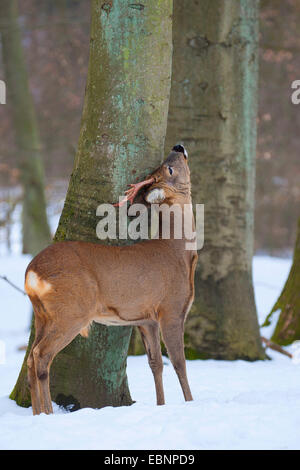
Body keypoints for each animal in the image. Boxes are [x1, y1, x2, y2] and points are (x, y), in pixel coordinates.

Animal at [25, 146, 197, 414]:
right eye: (169, 168)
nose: (177, 147)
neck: (178, 251)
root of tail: (32, 271)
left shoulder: (146, 319)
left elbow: (156, 364)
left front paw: (161, 405)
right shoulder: (171, 309)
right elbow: (179, 362)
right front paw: (191, 403)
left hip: (42, 314)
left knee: (31, 358)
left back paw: (37, 414)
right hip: (71, 311)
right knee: (41, 356)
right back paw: (48, 413)